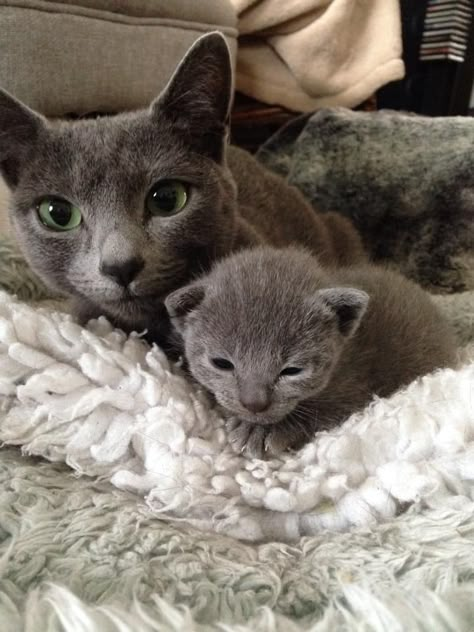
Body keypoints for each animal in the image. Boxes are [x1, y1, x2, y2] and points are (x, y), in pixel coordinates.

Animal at [166, 247, 456, 460]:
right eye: (221, 363)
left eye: (292, 370)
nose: (254, 404)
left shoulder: (355, 392)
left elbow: (319, 413)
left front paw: (261, 431)